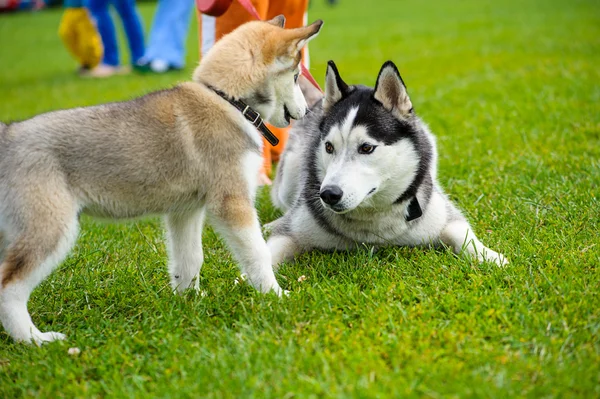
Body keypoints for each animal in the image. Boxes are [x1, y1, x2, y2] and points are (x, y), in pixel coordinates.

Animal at [0, 17, 324, 346]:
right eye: (295, 77)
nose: (307, 112)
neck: (227, 101)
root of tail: (8, 134)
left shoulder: (185, 211)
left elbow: (189, 258)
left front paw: (189, 300)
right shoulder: (232, 203)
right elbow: (258, 254)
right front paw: (276, 295)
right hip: (51, 229)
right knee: (9, 287)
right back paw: (34, 339)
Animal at [268, 60, 506, 268]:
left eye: (366, 148)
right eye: (328, 147)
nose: (328, 194)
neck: (375, 223)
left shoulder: (444, 215)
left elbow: (463, 234)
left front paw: (491, 256)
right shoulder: (291, 229)